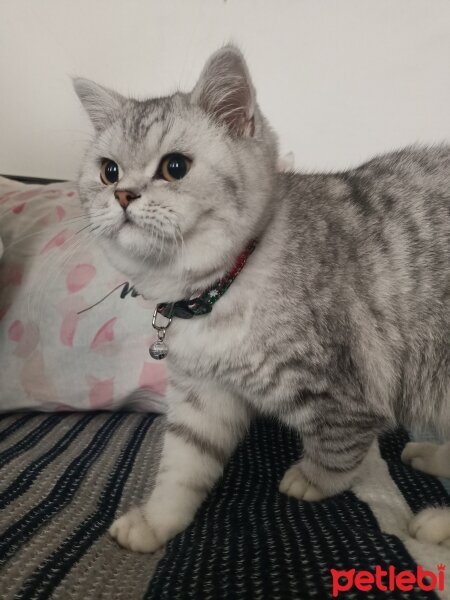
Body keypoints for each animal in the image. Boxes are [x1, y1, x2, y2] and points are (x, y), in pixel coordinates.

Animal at [72, 44, 448, 552]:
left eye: (175, 167)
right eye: (108, 171)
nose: (124, 195)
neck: (213, 293)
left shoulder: (340, 394)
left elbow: (339, 451)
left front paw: (312, 480)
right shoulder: (201, 396)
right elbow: (183, 466)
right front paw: (155, 520)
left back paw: (434, 521)